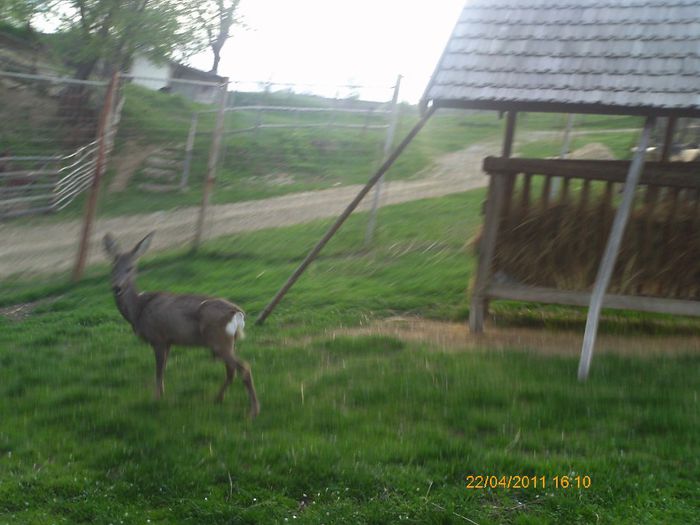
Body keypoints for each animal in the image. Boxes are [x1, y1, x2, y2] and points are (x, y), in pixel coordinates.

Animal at [102, 231, 258, 416]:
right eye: (113, 268)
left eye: (130, 268)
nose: (116, 287)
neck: (138, 310)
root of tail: (237, 313)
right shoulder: (169, 341)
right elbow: (163, 370)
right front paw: (162, 395)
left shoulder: (158, 338)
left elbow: (158, 372)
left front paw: (156, 398)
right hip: (228, 341)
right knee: (232, 370)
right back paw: (218, 398)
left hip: (218, 339)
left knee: (244, 368)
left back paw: (253, 410)